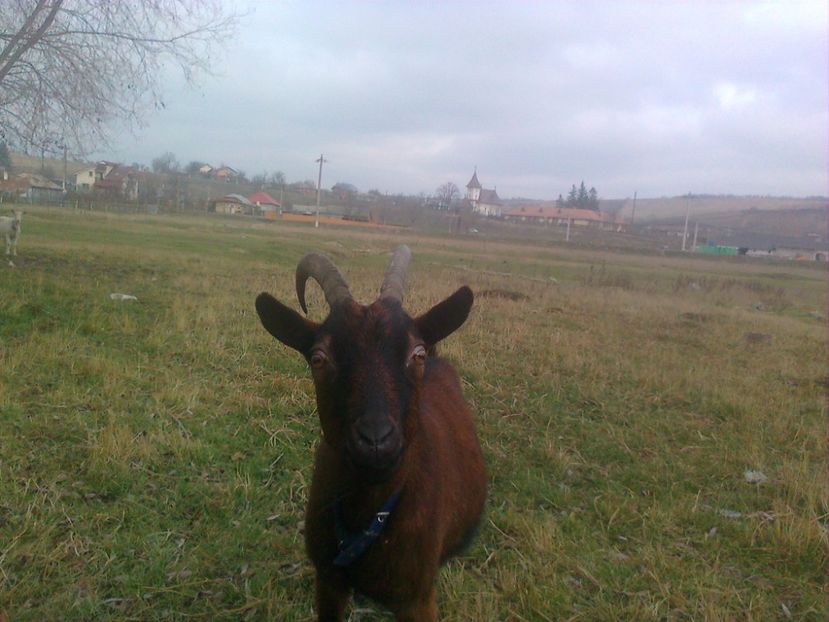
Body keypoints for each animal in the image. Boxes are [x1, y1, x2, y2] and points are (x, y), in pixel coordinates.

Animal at [252, 246, 486, 620]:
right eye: (318, 358)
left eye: (417, 354)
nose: (376, 441)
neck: (367, 518)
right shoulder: (328, 581)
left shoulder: (417, 599)